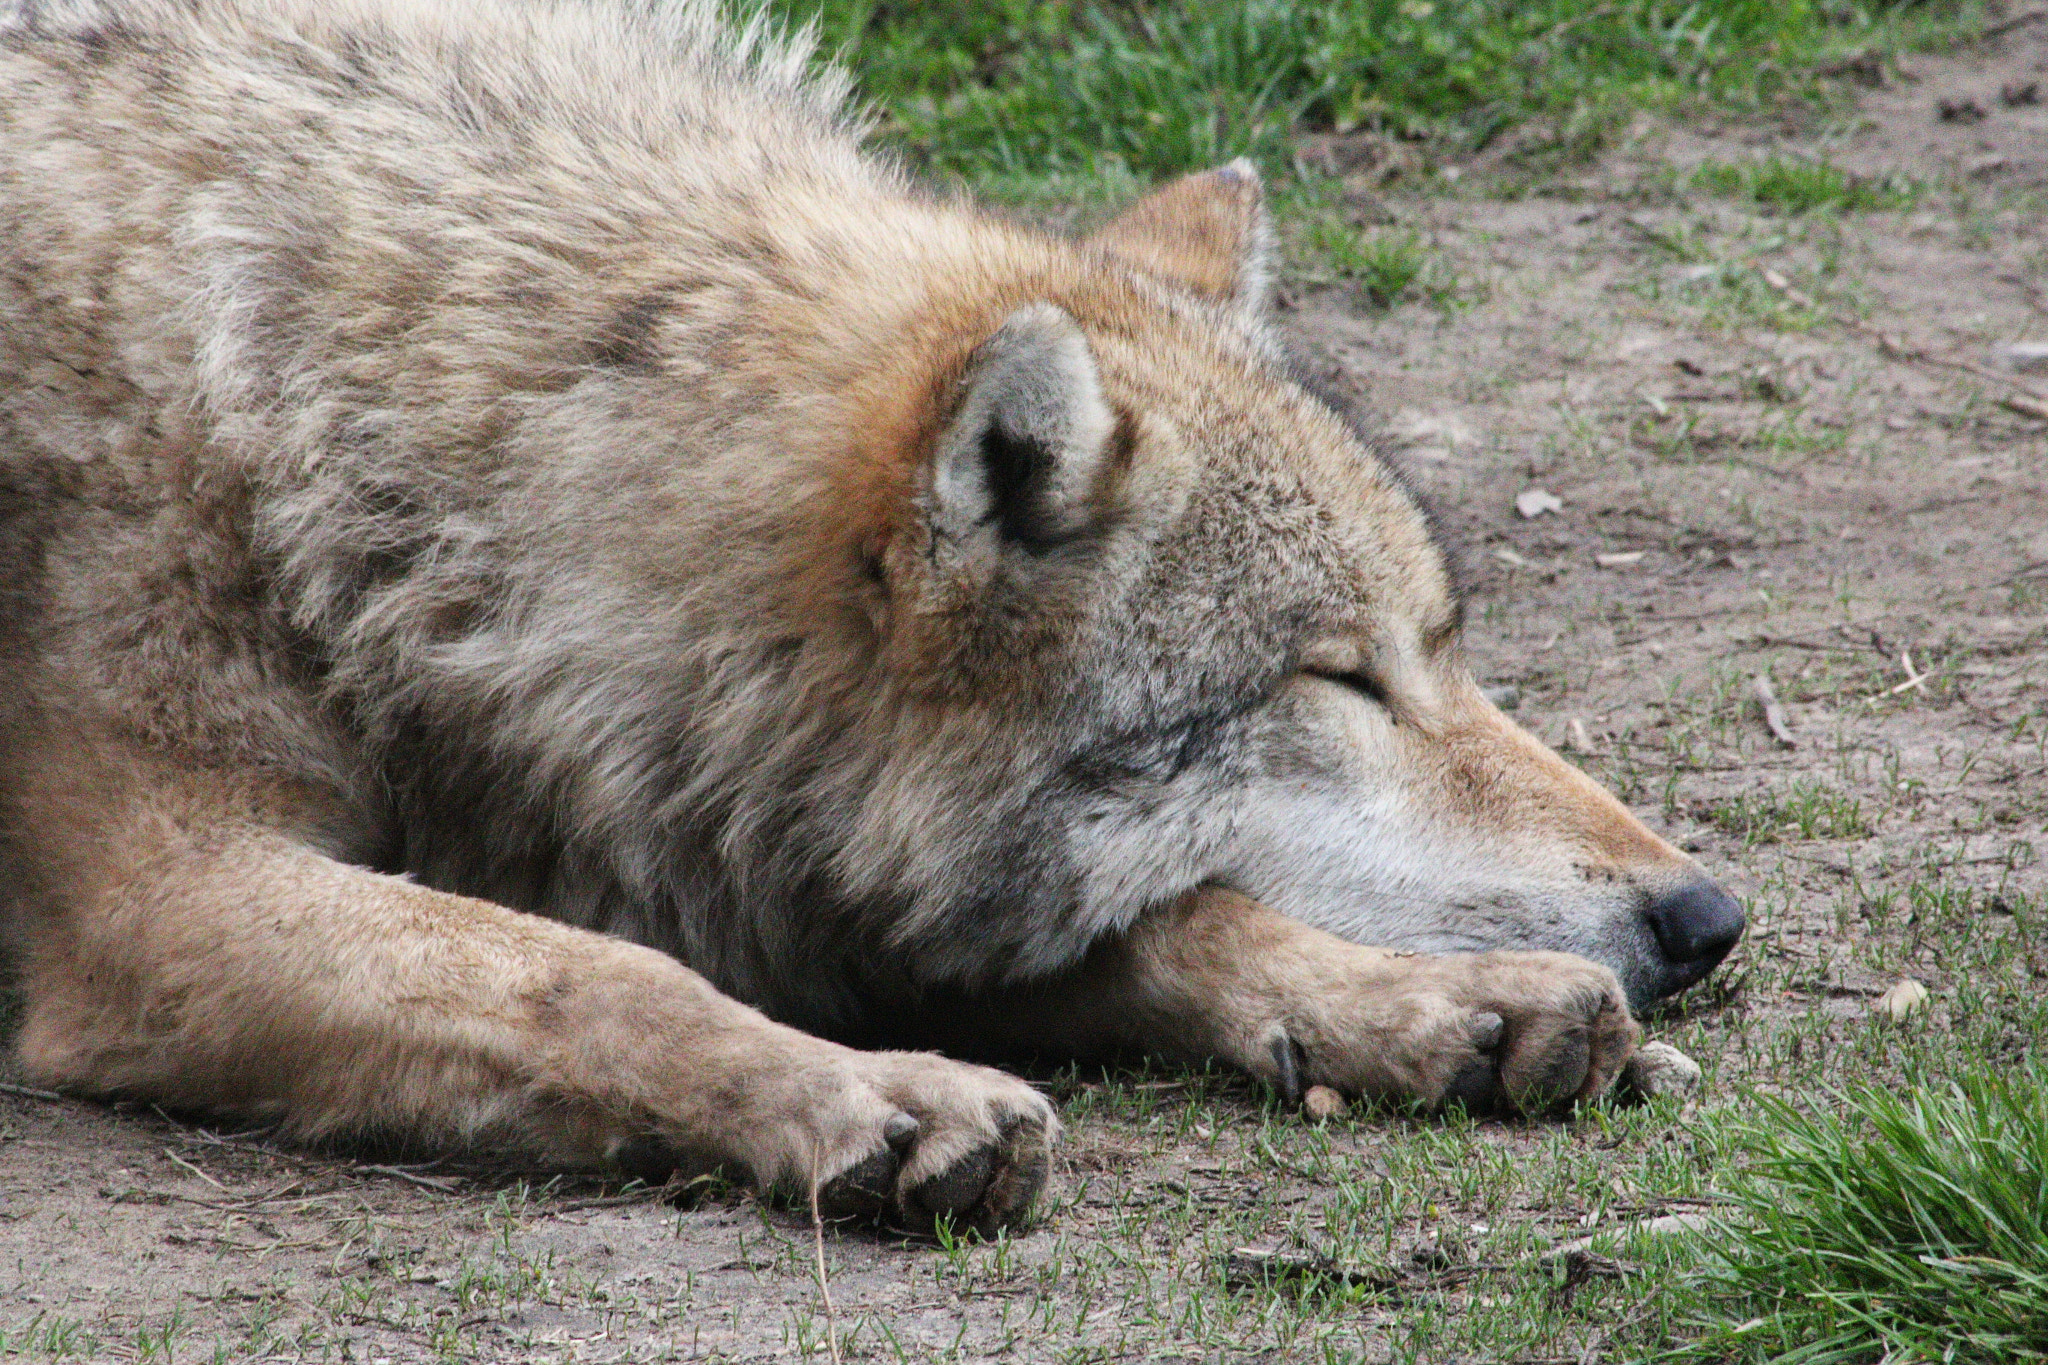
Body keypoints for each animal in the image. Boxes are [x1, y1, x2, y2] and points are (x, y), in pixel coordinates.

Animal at [0, 0, 1744, 1234]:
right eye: (1339, 679)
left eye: (1439, 653)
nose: (1709, 916)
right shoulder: (165, 900)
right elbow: (584, 975)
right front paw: (864, 1098)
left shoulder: (776, 853)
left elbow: (1182, 922)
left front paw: (1443, 1007)